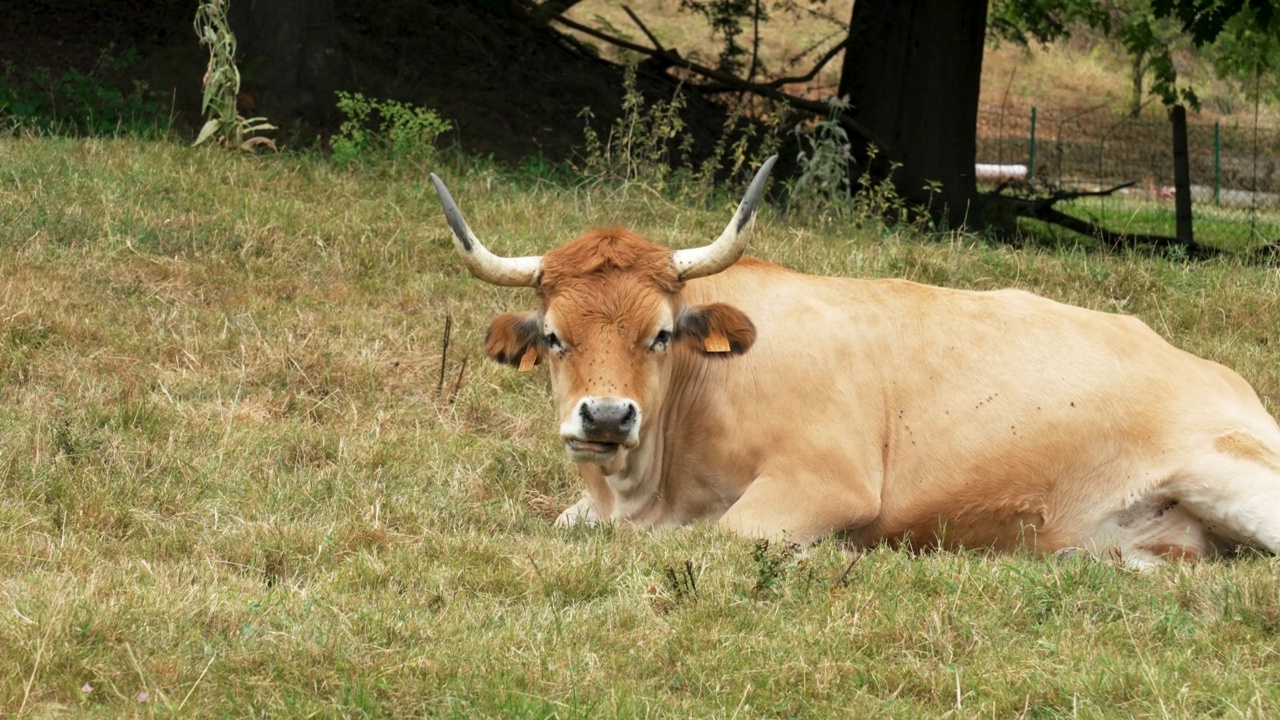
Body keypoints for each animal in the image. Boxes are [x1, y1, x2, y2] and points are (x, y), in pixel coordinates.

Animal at [430, 156, 1280, 566]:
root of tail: (1225, 377)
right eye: (554, 337)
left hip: (1232, 475)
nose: (606, 417)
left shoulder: (823, 482)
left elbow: (718, 537)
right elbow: (569, 523)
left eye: (661, 334)